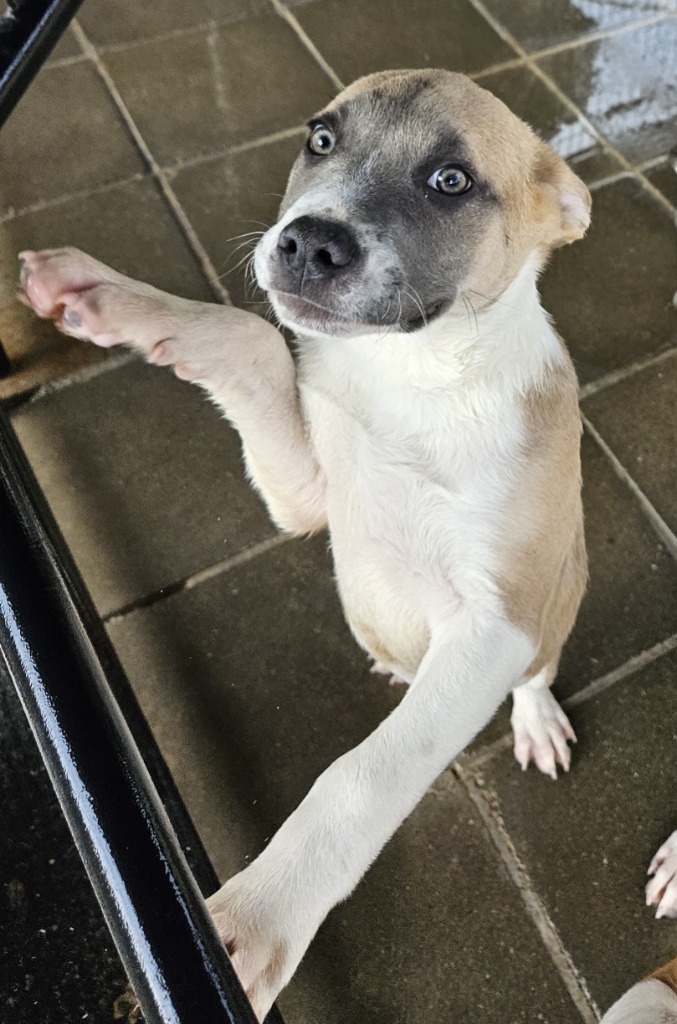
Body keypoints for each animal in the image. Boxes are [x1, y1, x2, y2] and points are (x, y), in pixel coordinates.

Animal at [21, 70, 589, 1015]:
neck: (419, 377)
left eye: (451, 182)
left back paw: (535, 719)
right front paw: (106, 297)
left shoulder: (495, 621)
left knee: (535, 676)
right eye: (320, 140)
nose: (309, 244)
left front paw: (256, 918)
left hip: (555, 604)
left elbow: (358, 777)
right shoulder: (306, 497)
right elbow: (251, 337)